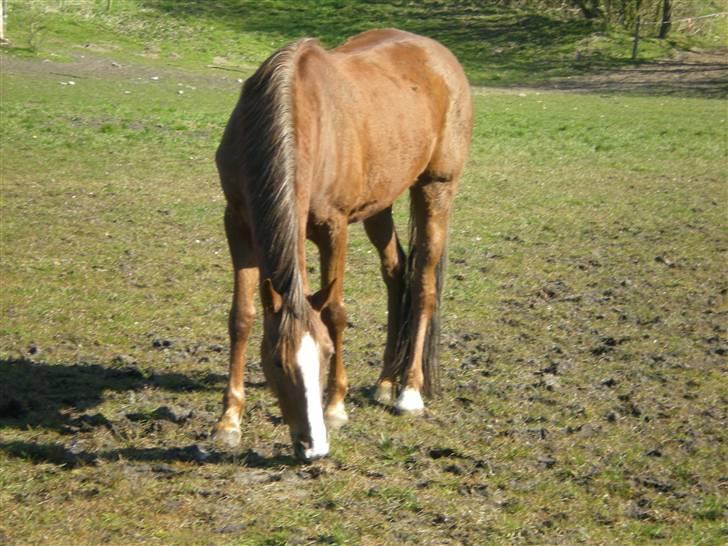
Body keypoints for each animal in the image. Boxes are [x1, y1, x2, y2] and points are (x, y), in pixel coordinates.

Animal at [212, 28, 472, 460]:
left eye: (326, 354)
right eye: (277, 362)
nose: (313, 447)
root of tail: (441, 55)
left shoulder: (334, 227)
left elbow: (335, 312)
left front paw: (335, 408)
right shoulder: (238, 223)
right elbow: (241, 318)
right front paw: (228, 421)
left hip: (436, 188)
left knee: (423, 284)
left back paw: (409, 393)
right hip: (379, 205)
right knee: (396, 273)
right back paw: (385, 383)